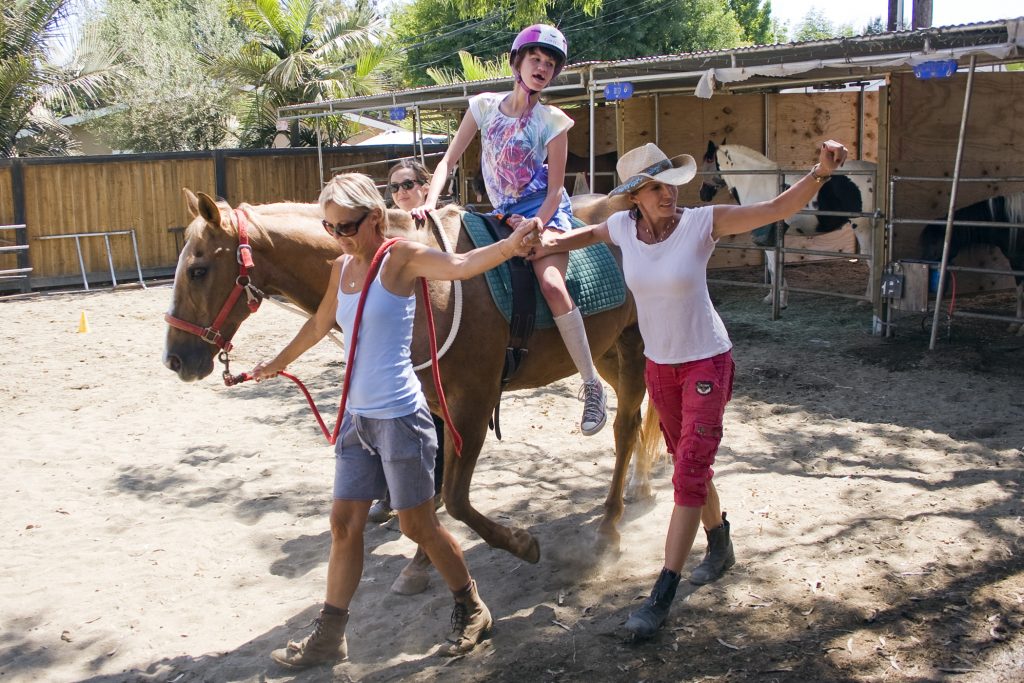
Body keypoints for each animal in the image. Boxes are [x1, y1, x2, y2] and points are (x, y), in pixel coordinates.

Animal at [163, 188, 659, 593]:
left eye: (199, 269)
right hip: (606, 351)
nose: (175, 359)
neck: (432, 285)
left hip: (634, 346)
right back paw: (641, 492)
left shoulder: (473, 403)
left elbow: (455, 498)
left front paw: (520, 543)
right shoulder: (431, 404)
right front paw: (421, 563)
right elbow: (429, 488)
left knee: (623, 429)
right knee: (633, 422)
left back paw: (609, 527)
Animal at [700, 141, 876, 307]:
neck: (755, 180)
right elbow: (773, 268)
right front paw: (772, 298)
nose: (703, 194)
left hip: (863, 228)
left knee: (871, 260)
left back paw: (867, 300)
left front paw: (780, 301)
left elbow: (774, 268)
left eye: (708, 159)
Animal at [921, 191, 1024, 335]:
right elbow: (1020, 293)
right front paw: (1016, 325)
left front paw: (1021, 328)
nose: (924, 264)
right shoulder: (1016, 262)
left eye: (934, 241)